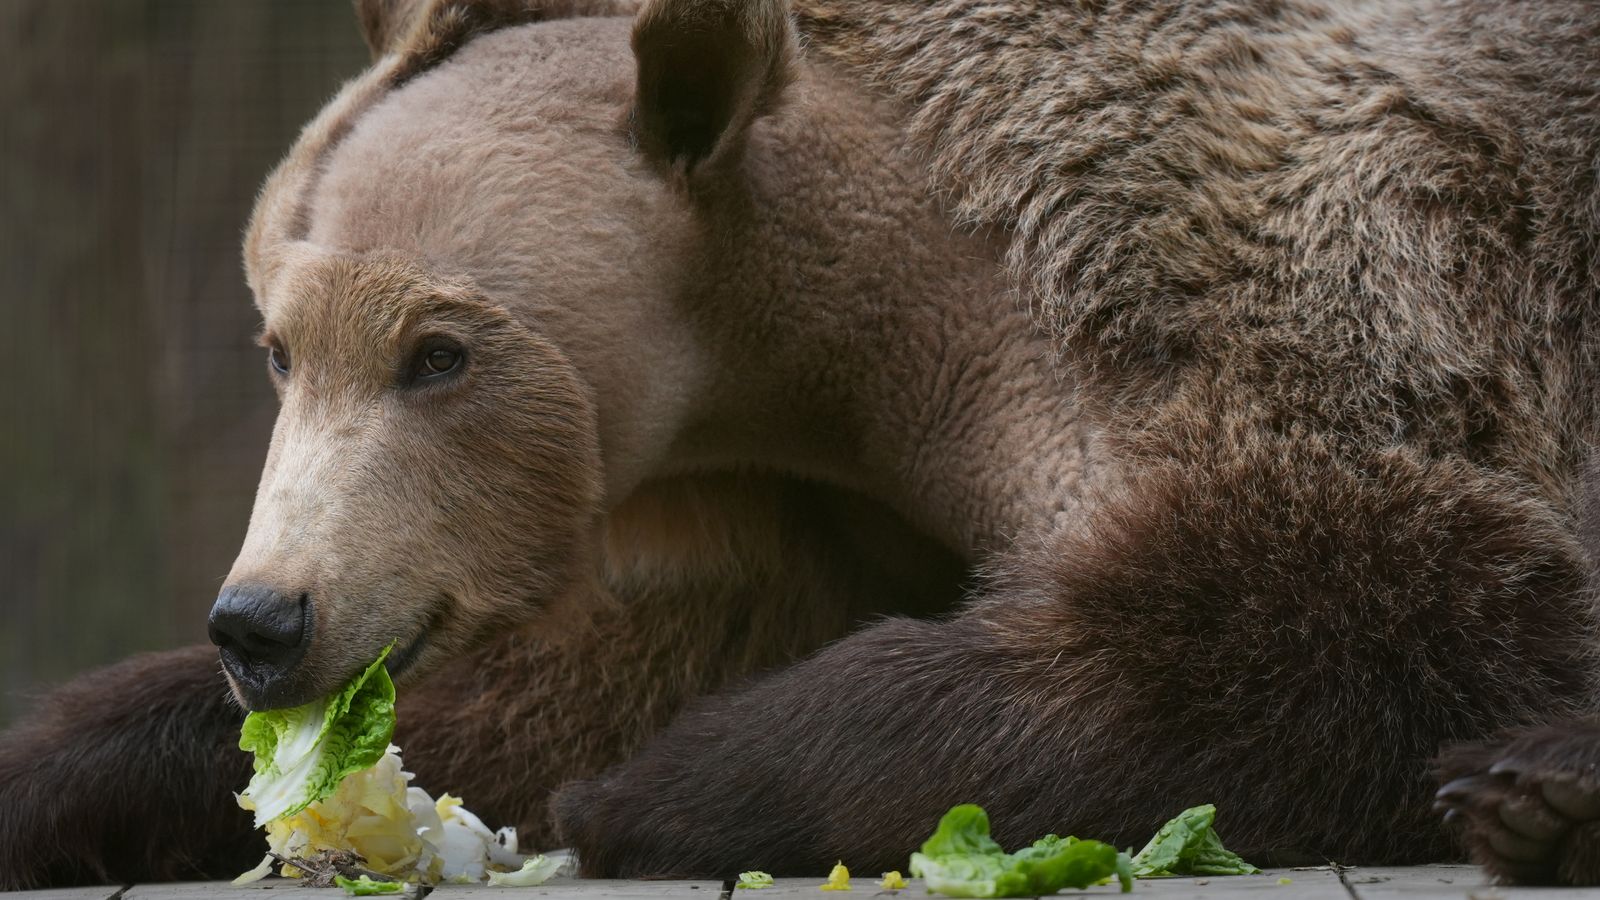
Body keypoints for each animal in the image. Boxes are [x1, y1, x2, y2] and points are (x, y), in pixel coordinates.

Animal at [3, 0, 1600, 883]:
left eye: (438, 353)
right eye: (280, 344)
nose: (263, 619)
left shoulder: (1301, 314)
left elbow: (1337, 613)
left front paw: (671, 784)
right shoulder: (783, 520)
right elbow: (553, 685)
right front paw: (64, 769)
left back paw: (1535, 793)